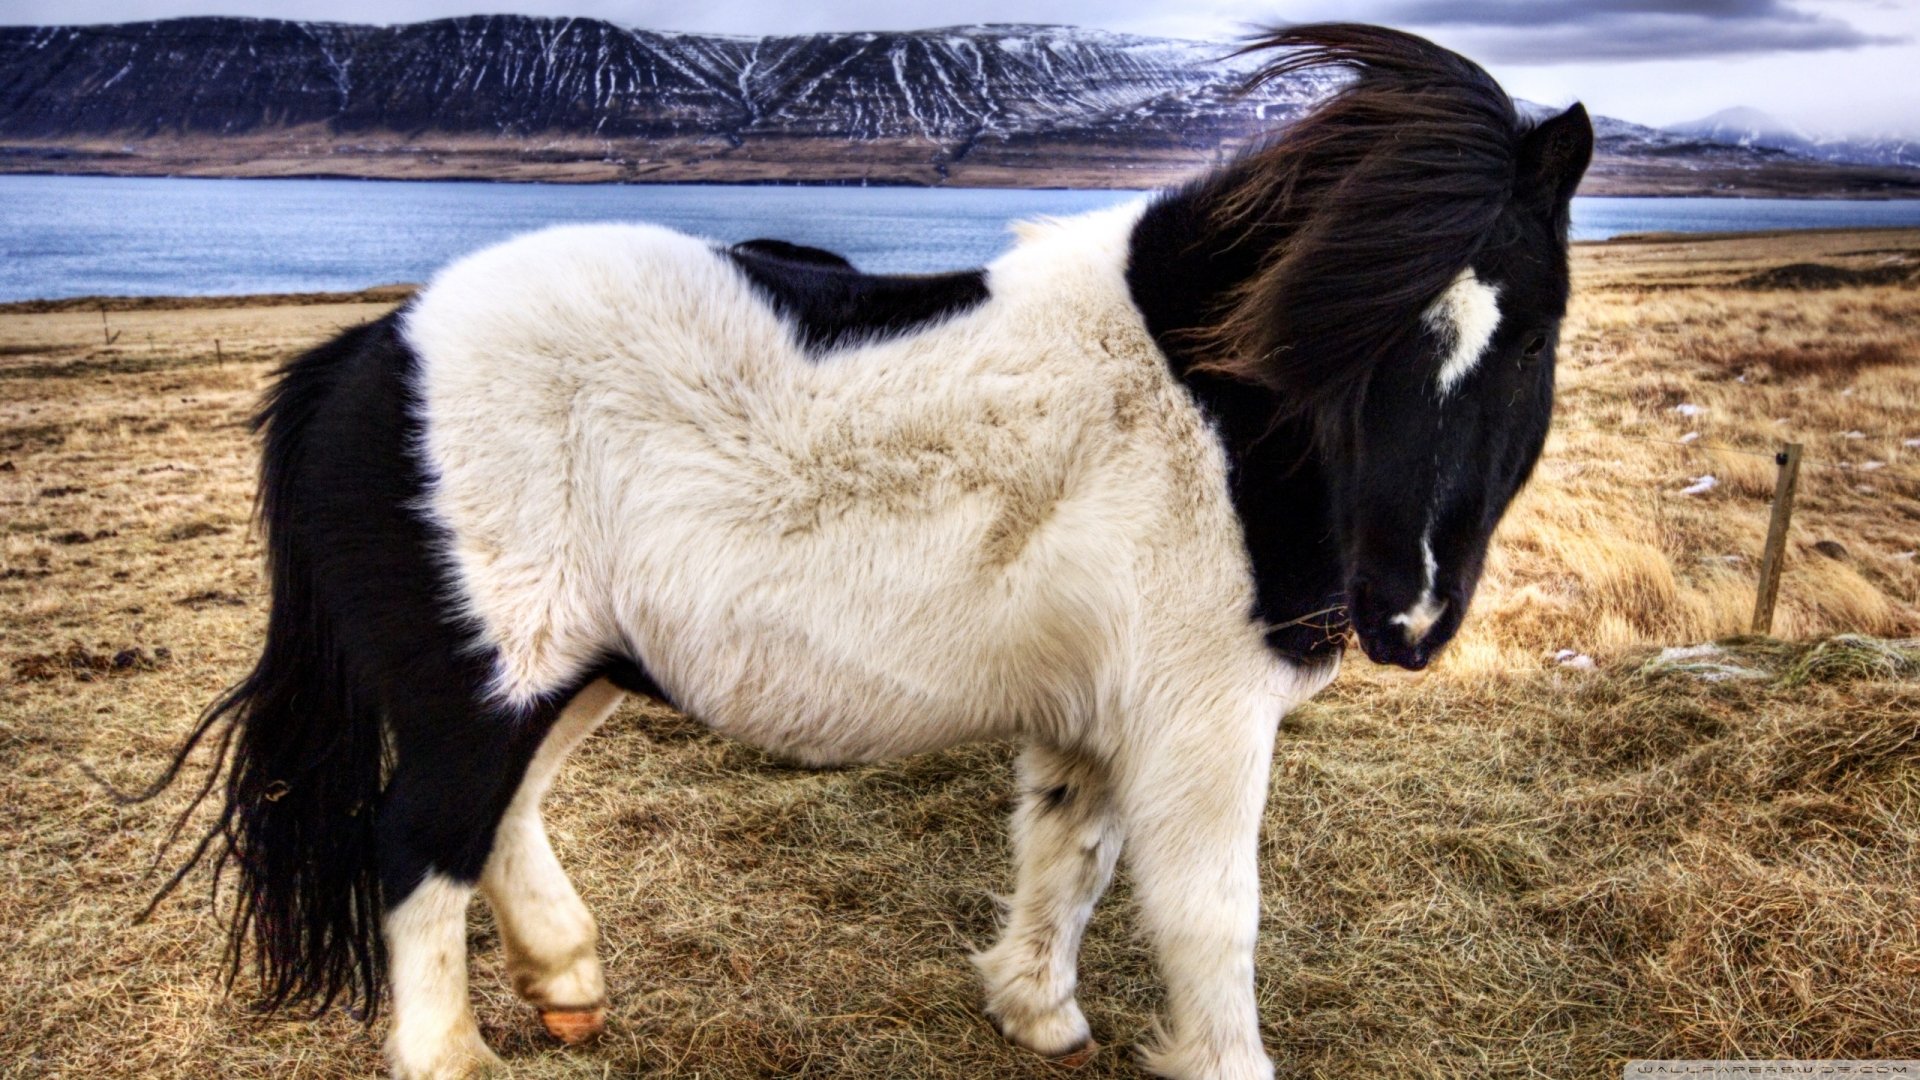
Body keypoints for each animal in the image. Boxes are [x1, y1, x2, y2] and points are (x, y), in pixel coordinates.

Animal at [147, 23, 1592, 1080]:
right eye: (1345, 330)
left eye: (1531, 336)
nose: (1407, 615)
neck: (1210, 414)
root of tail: (372, 352)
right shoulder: (1201, 719)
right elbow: (1208, 918)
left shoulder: (1097, 712)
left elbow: (1068, 854)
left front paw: (1033, 1011)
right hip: (484, 689)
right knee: (418, 849)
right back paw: (456, 1054)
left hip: (564, 674)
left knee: (496, 817)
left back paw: (566, 978)